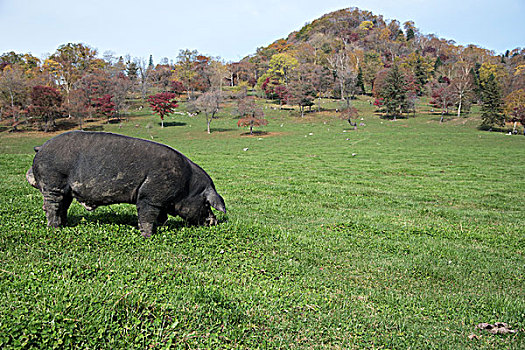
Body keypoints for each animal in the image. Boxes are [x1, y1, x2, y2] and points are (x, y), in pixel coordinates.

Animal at [27, 132, 225, 238]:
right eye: (207, 203)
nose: (214, 221)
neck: (186, 187)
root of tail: (41, 147)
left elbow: (161, 217)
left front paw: (160, 227)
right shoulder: (149, 197)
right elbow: (147, 216)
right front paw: (148, 236)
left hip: (66, 190)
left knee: (63, 206)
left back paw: (65, 224)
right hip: (53, 181)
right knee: (52, 206)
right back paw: (54, 228)